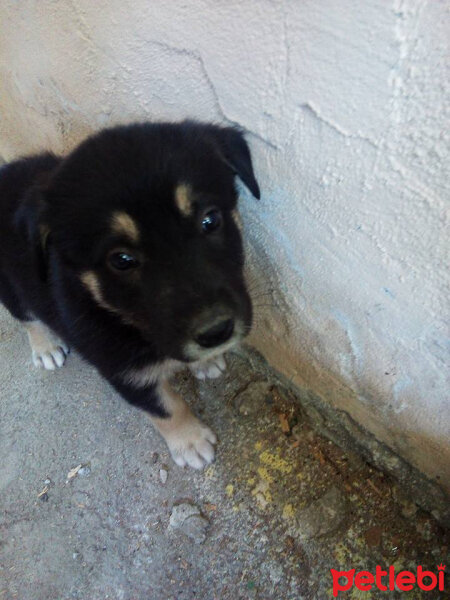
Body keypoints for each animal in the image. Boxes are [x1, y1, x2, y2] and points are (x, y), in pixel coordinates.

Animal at [0, 120, 260, 468]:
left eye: (211, 220)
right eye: (121, 260)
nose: (216, 331)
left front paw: (207, 361)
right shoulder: (122, 372)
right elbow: (167, 409)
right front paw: (190, 442)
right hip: (10, 287)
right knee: (28, 318)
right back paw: (46, 347)